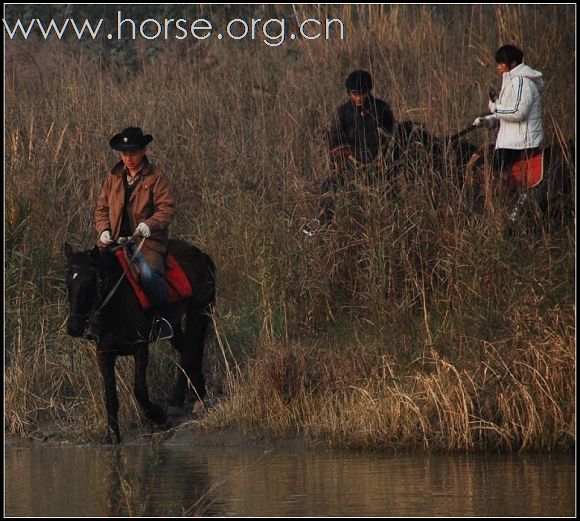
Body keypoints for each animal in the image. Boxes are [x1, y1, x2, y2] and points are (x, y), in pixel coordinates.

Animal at [63, 238, 216, 440]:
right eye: (68, 282)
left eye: (91, 281)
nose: (73, 327)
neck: (116, 305)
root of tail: (200, 254)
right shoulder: (104, 353)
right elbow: (110, 396)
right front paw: (112, 436)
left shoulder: (140, 347)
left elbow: (140, 391)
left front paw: (158, 416)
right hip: (175, 325)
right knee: (186, 351)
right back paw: (187, 396)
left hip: (198, 313)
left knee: (191, 351)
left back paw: (191, 397)